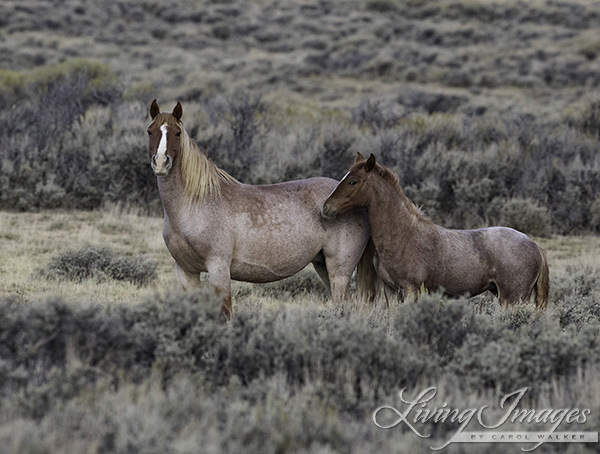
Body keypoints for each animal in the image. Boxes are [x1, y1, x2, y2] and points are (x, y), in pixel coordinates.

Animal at [146, 100, 376, 320]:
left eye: (177, 133)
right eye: (150, 131)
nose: (161, 163)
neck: (194, 205)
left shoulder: (218, 267)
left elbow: (226, 313)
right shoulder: (186, 271)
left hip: (340, 271)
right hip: (322, 266)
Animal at [324, 153, 548, 308]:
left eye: (353, 181)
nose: (326, 207)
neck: (402, 235)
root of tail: (535, 246)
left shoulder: (410, 289)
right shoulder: (391, 291)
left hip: (512, 298)